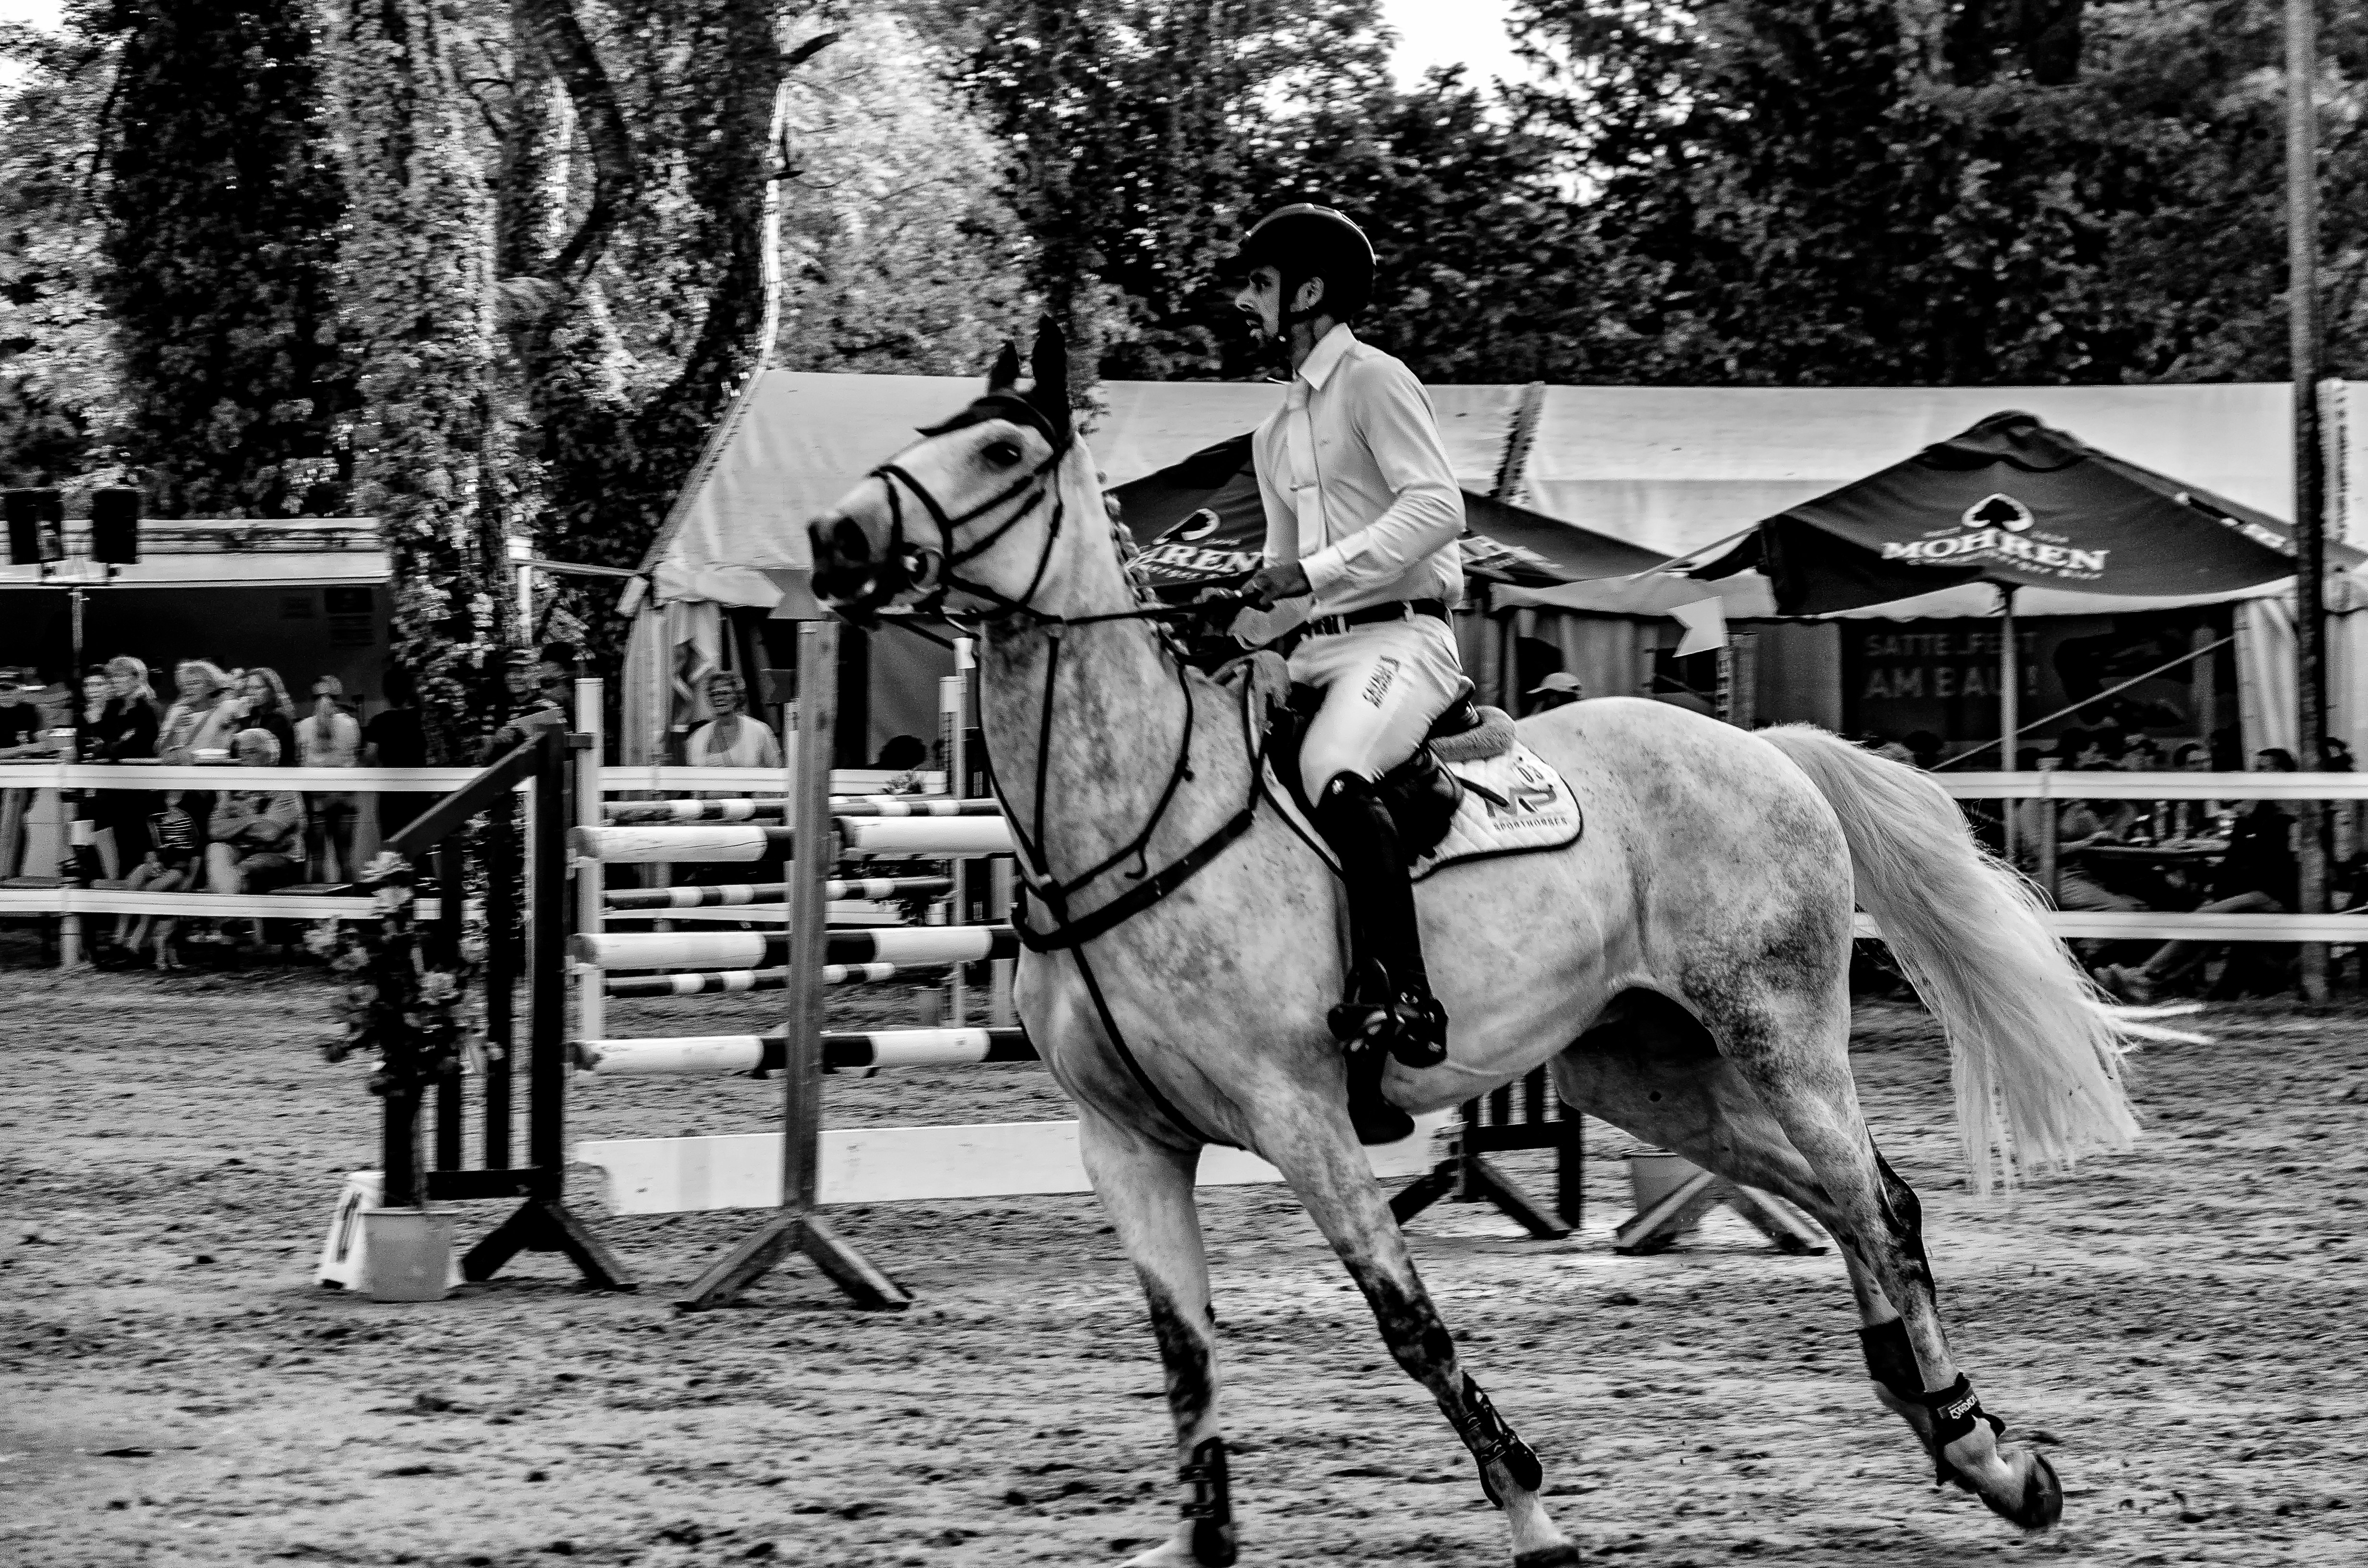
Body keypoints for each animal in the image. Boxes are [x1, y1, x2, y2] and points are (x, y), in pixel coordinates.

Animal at [804, 322, 2141, 1568]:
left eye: (1002, 452)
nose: (832, 538)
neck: (1136, 821)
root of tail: (1766, 748)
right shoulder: (1126, 1141)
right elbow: (1182, 1349)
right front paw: (1199, 1538)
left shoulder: (1301, 1119)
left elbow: (1410, 1325)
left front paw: (1533, 1514)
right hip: (1643, 1070)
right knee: (1840, 1201)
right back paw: (1943, 1426)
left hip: (1780, 1035)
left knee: (1879, 1204)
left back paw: (1979, 1446)